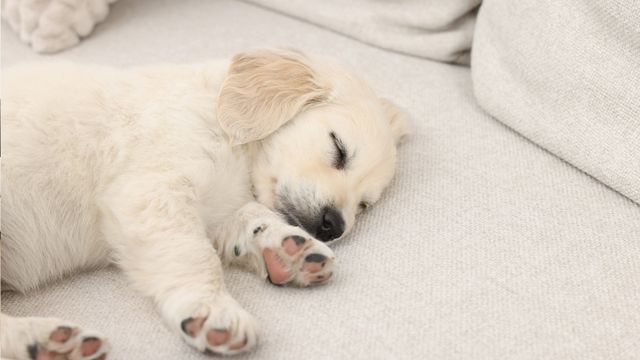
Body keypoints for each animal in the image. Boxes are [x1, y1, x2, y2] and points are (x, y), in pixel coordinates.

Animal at [0, 49, 410, 358]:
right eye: (339, 149)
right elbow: (194, 256)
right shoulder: (152, 191)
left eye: (364, 205)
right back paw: (44, 341)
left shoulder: (220, 206)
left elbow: (251, 217)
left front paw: (285, 247)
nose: (334, 225)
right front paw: (211, 309)